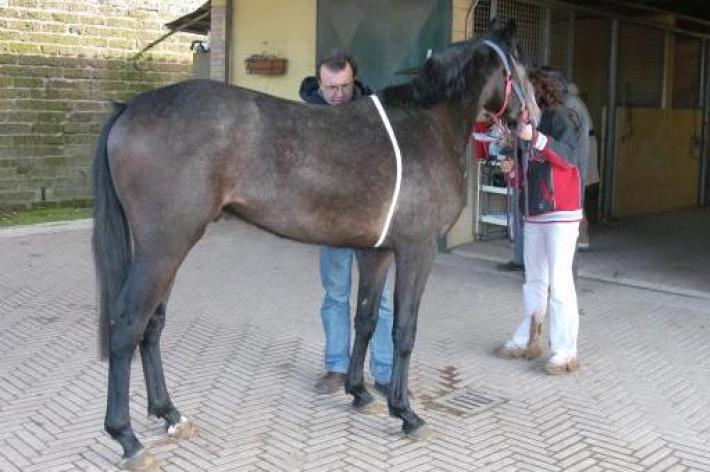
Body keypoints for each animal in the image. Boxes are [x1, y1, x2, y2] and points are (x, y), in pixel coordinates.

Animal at [94, 19, 536, 468]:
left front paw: (359, 393)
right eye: (523, 68)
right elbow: (404, 331)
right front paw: (406, 413)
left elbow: (365, 319)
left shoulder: (376, 253)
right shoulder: (418, 250)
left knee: (152, 326)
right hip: (163, 248)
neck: (426, 124)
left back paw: (169, 413)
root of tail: (129, 108)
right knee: (127, 324)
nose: (532, 120)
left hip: (167, 249)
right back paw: (127, 438)